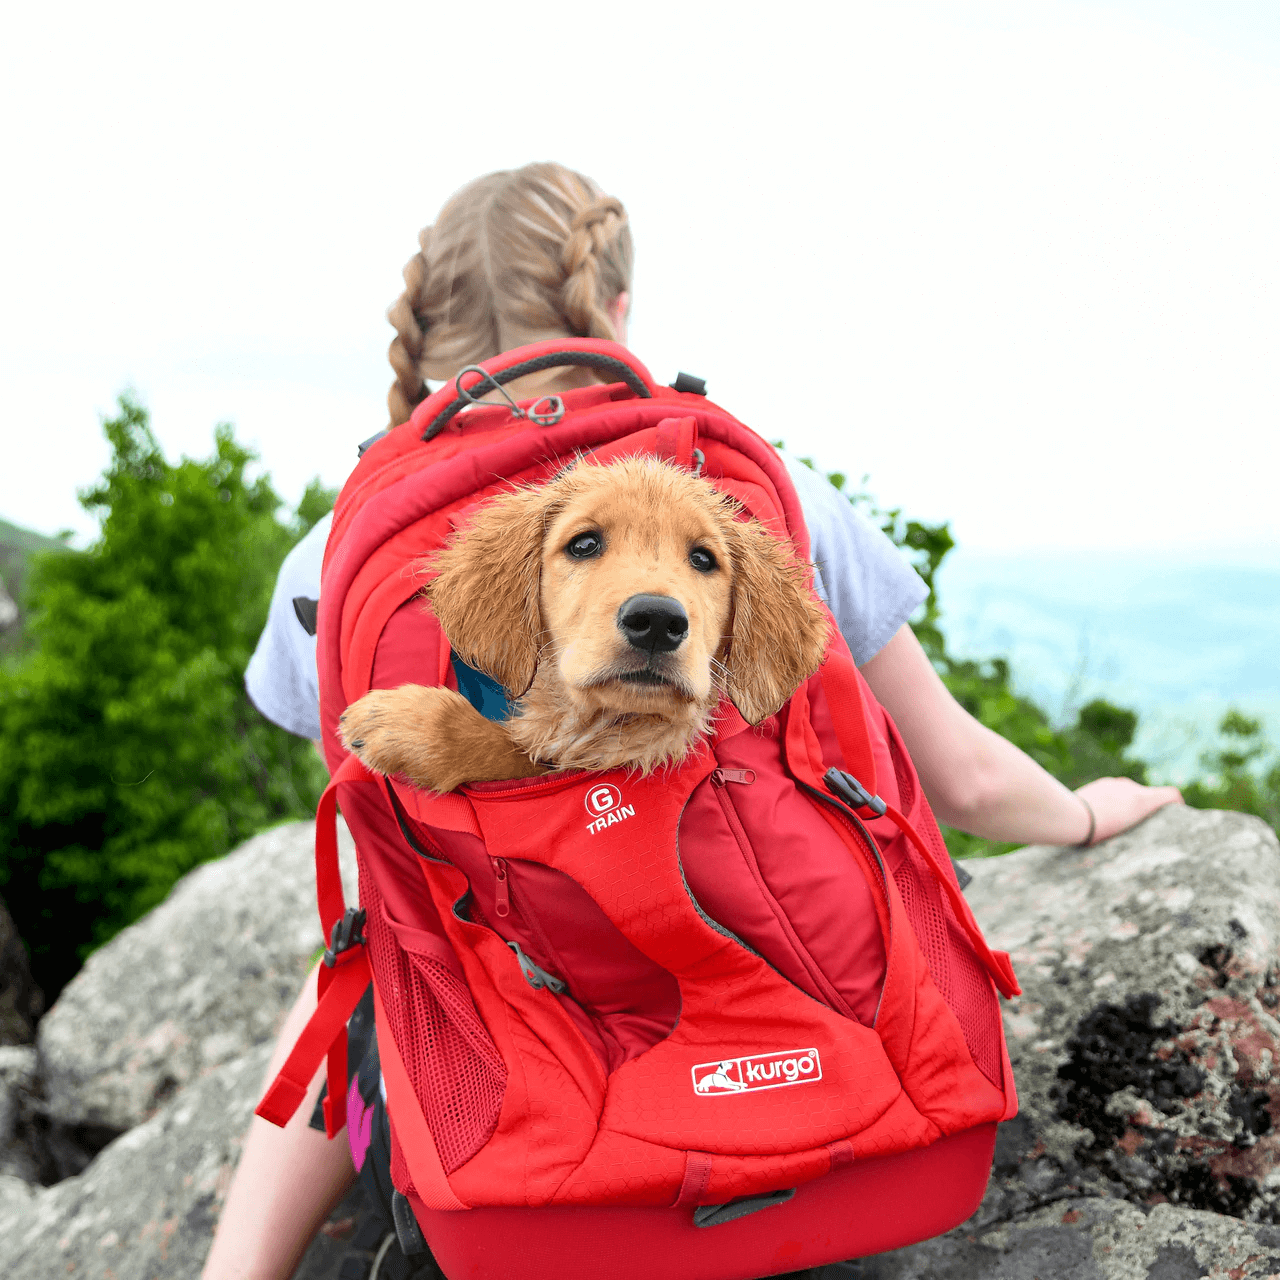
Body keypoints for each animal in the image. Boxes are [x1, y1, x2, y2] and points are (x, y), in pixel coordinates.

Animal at [337, 450, 829, 788]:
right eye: (584, 544)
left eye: (704, 559)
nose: (656, 620)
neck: (609, 726)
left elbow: (515, 752)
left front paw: (409, 722)